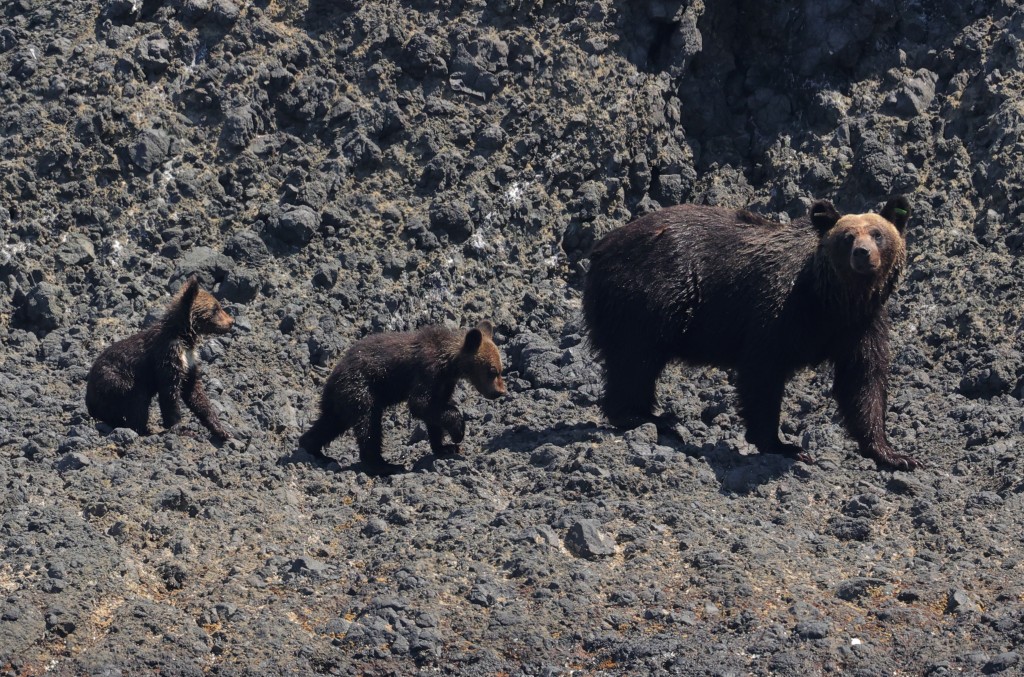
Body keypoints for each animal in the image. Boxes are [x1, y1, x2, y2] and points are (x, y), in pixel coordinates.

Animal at [86, 277, 234, 440]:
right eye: (215, 309)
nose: (231, 322)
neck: (183, 337)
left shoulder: (189, 361)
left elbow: (195, 393)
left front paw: (221, 429)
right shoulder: (166, 356)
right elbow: (169, 393)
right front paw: (180, 428)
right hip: (115, 381)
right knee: (136, 399)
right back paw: (140, 429)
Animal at [298, 321, 506, 476]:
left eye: (500, 369)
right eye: (492, 371)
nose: (500, 392)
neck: (448, 361)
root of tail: (331, 379)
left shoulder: (444, 382)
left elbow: (434, 410)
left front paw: (444, 447)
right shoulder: (427, 369)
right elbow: (421, 403)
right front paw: (458, 432)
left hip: (339, 400)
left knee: (330, 423)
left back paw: (314, 450)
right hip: (360, 388)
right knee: (368, 426)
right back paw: (385, 465)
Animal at [582, 196, 918, 471]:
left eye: (878, 234)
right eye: (847, 237)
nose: (862, 253)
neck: (833, 300)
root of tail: (601, 246)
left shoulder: (861, 326)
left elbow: (863, 380)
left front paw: (893, 453)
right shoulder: (780, 311)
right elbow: (762, 371)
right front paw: (784, 445)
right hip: (650, 294)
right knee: (634, 357)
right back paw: (645, 417)